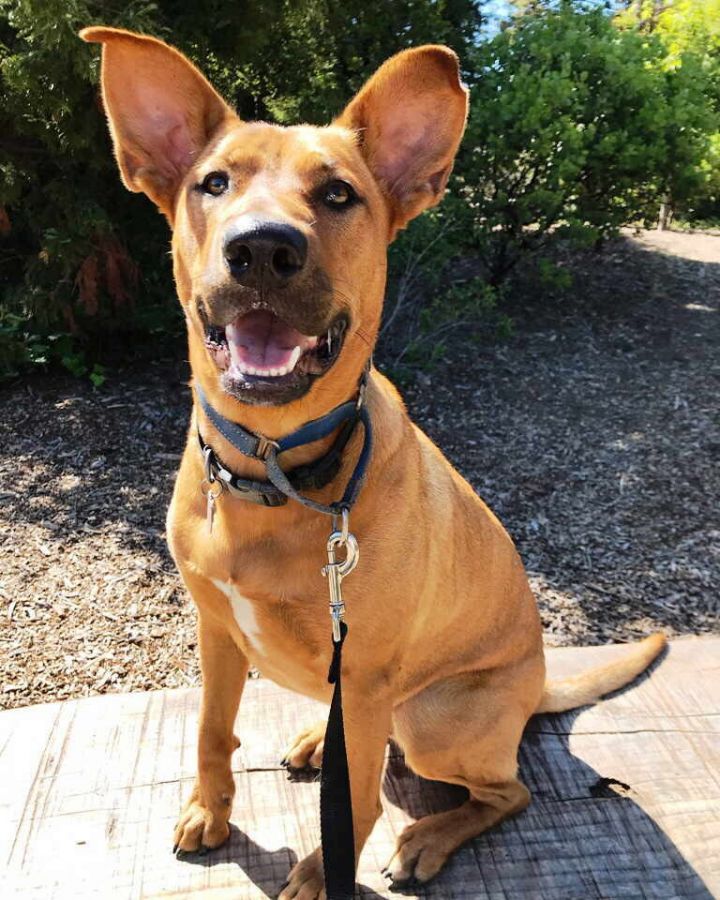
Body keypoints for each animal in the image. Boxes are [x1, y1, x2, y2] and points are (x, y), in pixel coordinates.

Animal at [81, 28, 668, 900]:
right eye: (213, 183)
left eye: (338, 195)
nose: (262, 248)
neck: (273, 471)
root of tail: (534, 688)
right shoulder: (217, 630)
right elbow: (213, 732)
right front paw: (207, 812)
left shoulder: (362, 675)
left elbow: (354, 800)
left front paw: (325, 870)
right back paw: (312, 742)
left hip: (433, 715)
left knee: (506, 791)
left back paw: (426, 836)